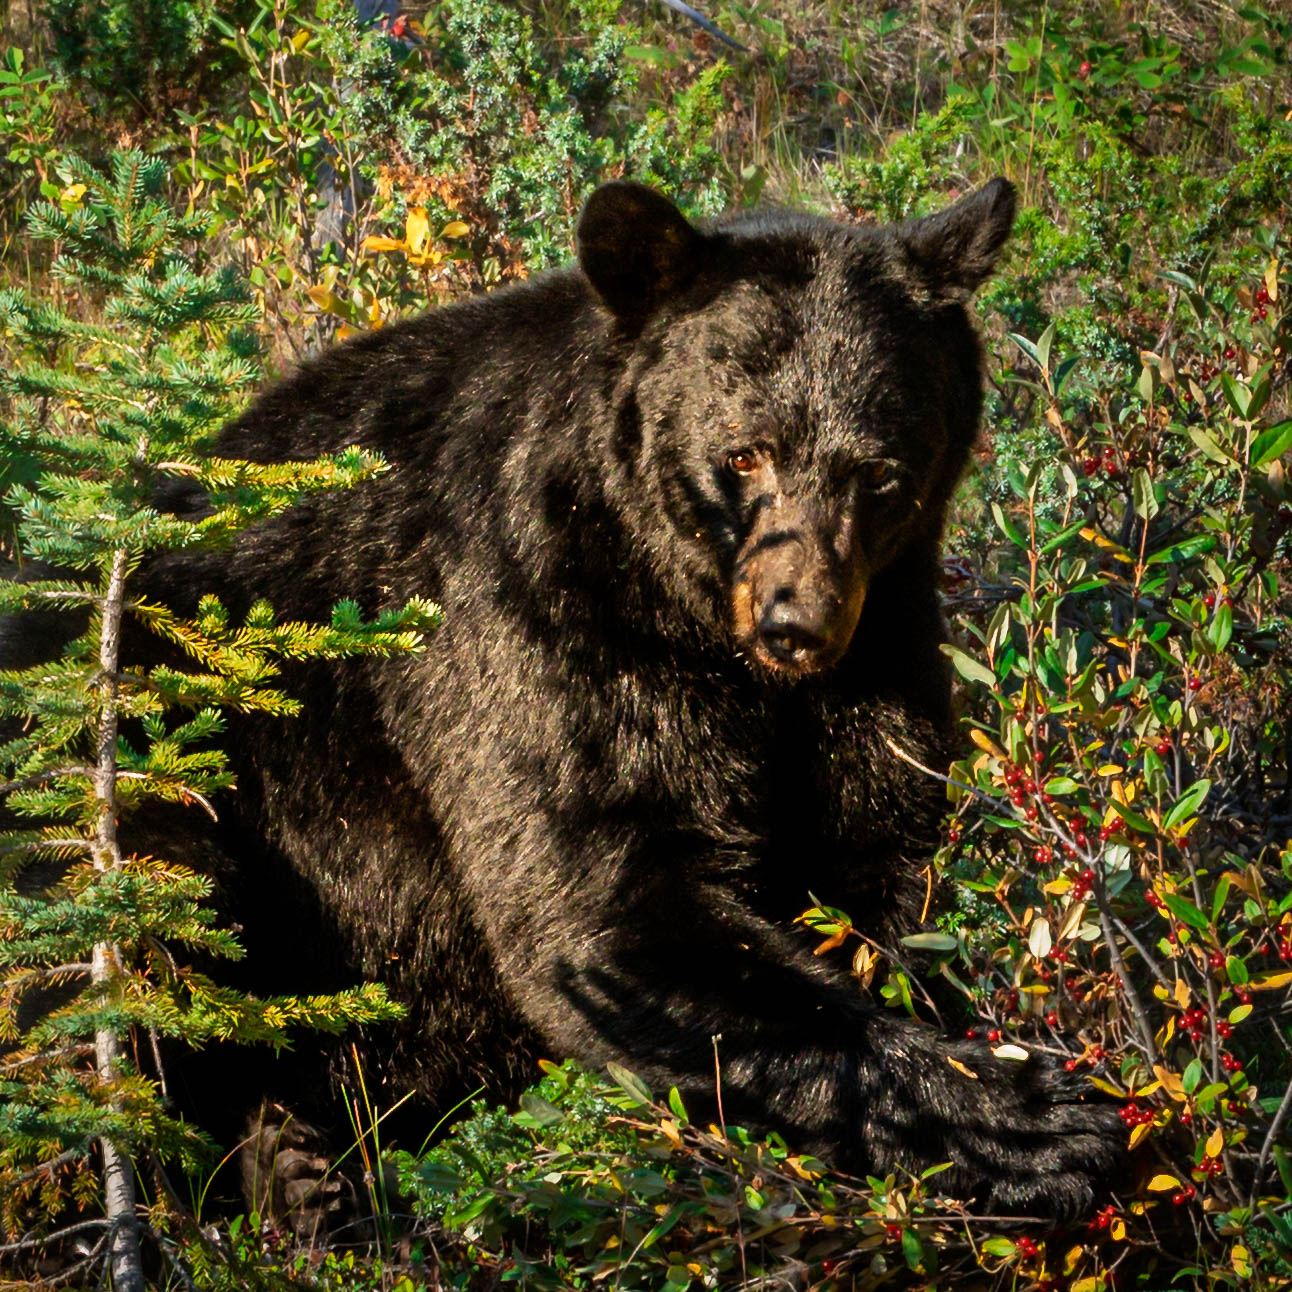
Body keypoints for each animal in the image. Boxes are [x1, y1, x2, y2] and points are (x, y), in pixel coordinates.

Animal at [133, 177, 1122, 1227]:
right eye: (744, 455)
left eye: (881, 473)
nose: (797, 625)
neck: (689, 610)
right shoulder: (534, 613)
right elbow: (598, 910)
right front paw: (1038, 1125)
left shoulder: (884, 641)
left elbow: (882, 858)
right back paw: (278, 1161)